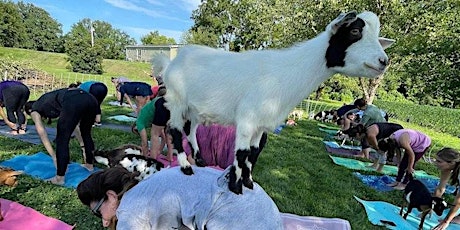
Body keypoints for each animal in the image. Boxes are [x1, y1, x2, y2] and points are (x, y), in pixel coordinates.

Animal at [155, 10, 396, 194]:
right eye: (355, 31)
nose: (383, 61)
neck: (283, 74)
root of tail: (171, 62)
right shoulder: (247, 120)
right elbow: (241, 154)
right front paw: (235, 188)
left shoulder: (261, 125)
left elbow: (253, 153)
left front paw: (248, 183)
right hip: (176, 100)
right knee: (174, 129)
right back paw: (186, 166)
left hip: (195, 108)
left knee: (191, 129)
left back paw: (200, 159)